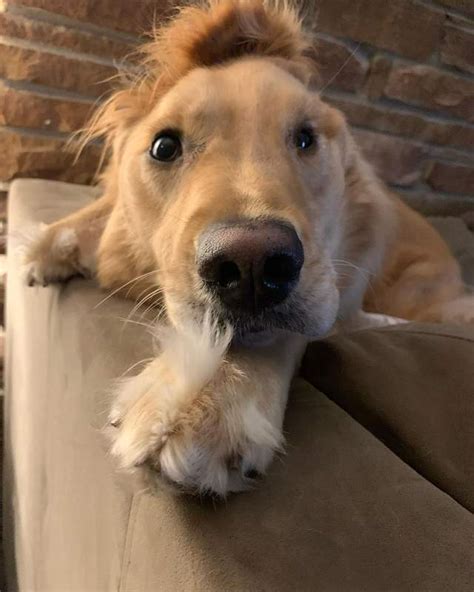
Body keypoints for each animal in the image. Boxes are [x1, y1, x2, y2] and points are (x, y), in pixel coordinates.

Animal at [25, 0, 474, 494]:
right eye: (164, 147)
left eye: (305, 138)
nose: (253, 267)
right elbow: (101, 213)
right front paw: (46, 246)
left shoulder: (333, 280)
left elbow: (280, 333)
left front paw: (208, 390)